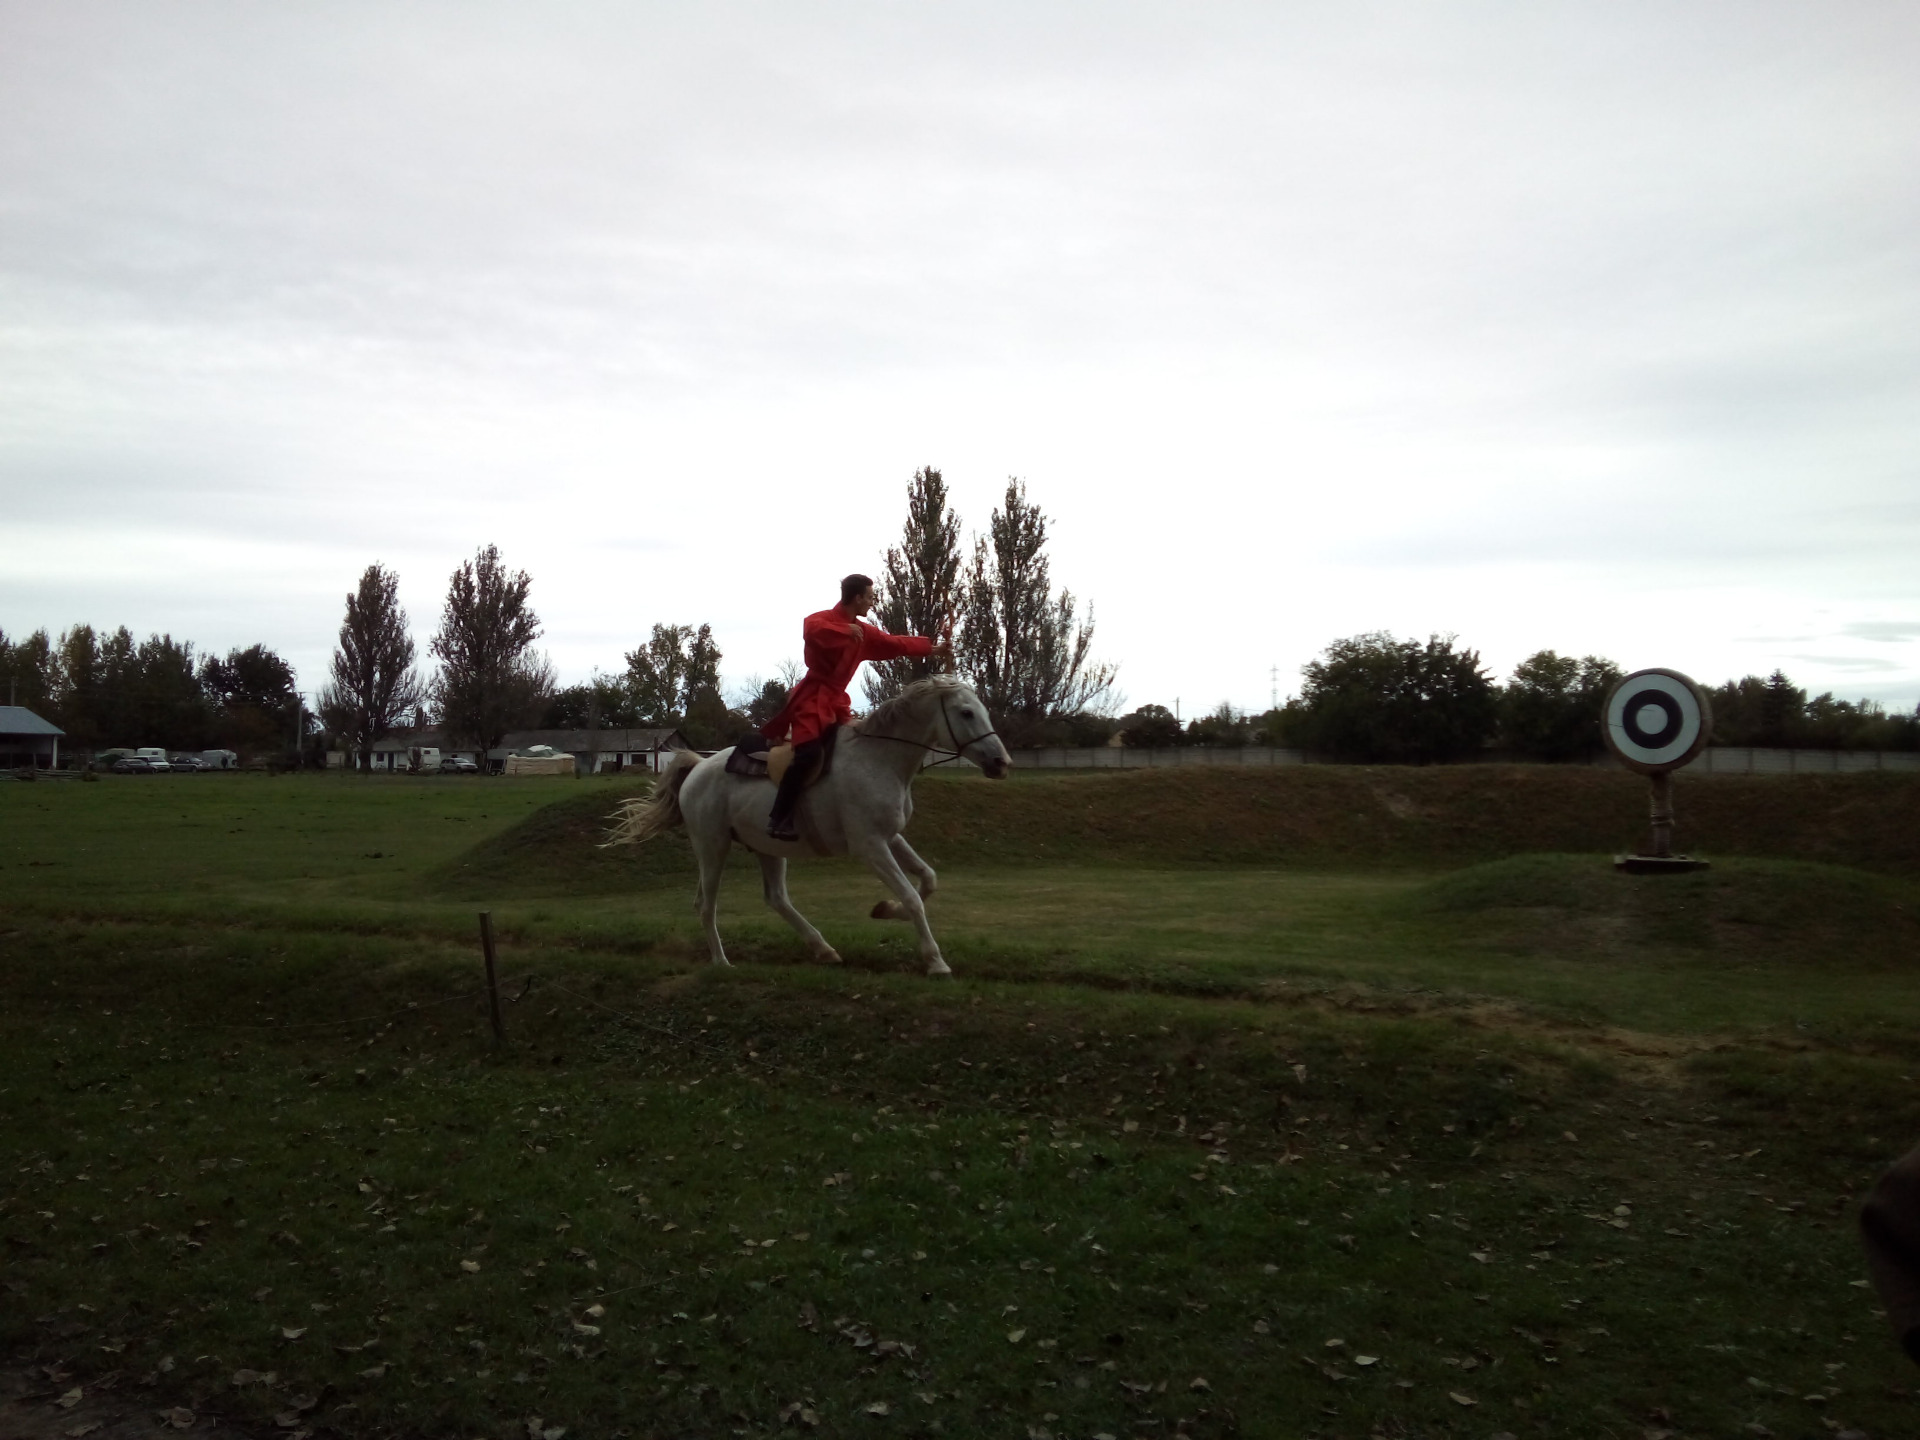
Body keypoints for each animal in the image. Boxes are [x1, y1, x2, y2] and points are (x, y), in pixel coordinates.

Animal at [606, 679, 1013, 983]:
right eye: (966, 712)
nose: (1001, 762)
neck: (878, 760)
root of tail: (698, 767)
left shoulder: (891, 837)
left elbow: (928, 880)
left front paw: (885, 910)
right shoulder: (870, 846)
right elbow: (913, 896)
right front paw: (935, 960)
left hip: (767, 848)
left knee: (776, 899)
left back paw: (823, 949)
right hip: (712, 847)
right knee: (707, 905)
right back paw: (722, 963)